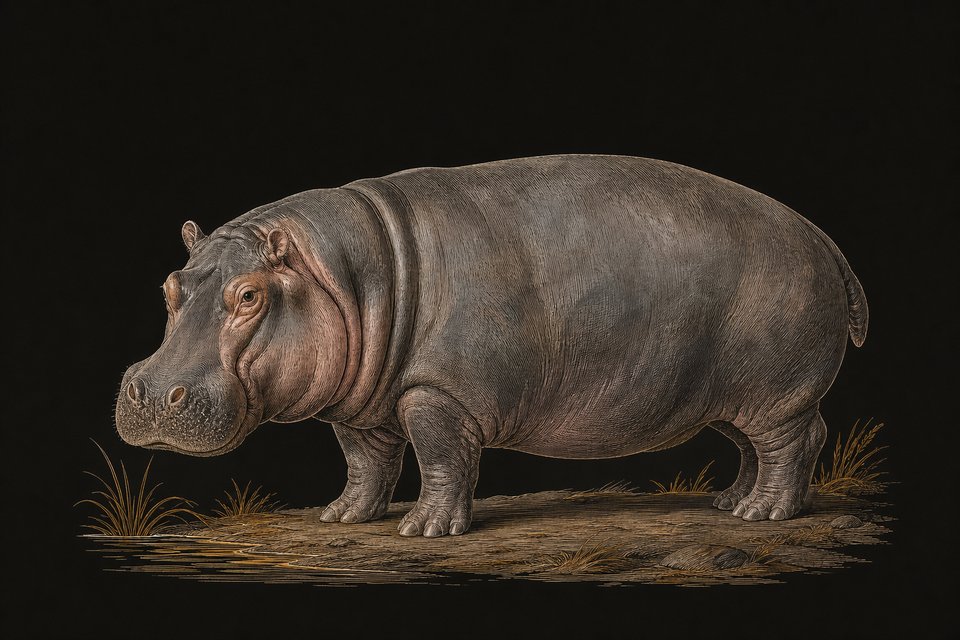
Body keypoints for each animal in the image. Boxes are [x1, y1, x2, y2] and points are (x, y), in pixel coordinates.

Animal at [116, 154, 868, 537]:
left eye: (249, 296)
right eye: (169, 285)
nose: (149, 391)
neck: (339, 275)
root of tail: (823, 237)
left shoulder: (437, 394)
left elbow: (443, 460)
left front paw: (423, 531)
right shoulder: (360, 405)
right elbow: (365, 463)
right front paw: (342, 517)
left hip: (776, 392)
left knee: (795, 441)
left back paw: (761, 514)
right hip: (727, 395)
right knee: (754, 445)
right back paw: (727, 502)